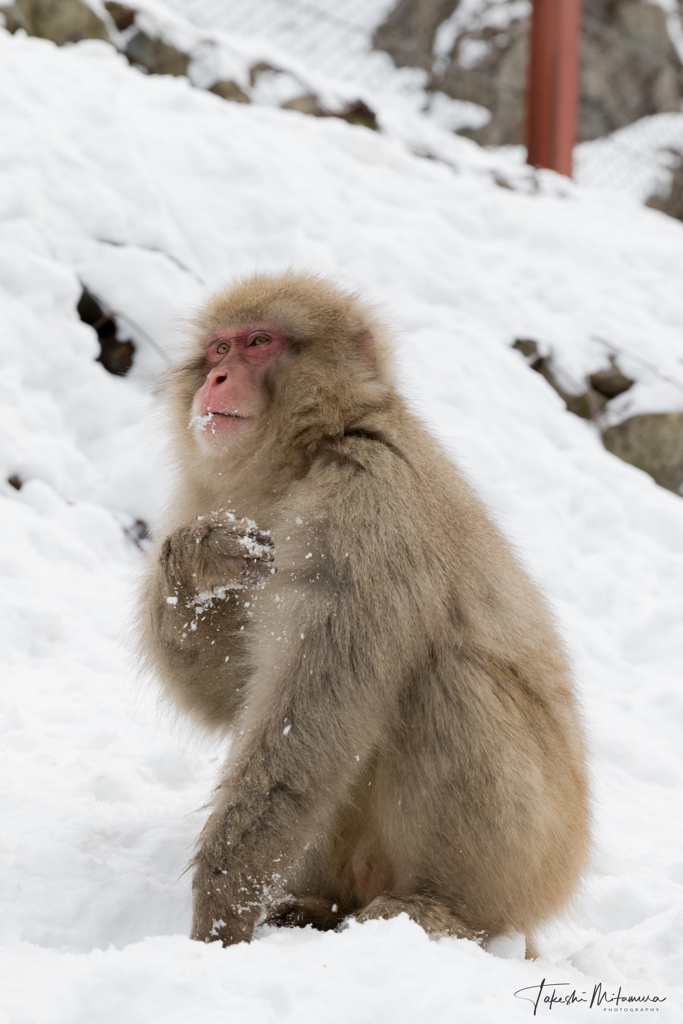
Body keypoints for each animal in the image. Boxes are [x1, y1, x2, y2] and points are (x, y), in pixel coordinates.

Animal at [141, 270, 589, 950]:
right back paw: (312, 906)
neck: (303, 457)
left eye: (259, 342)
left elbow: (308, 720)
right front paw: (196, 557)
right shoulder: (214, 495)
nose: (215, 379)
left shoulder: (365, 500)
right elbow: (234, 698)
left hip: (533, 860)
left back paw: (440, 909)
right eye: (219, 348)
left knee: (449, 678)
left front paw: (218, 920)